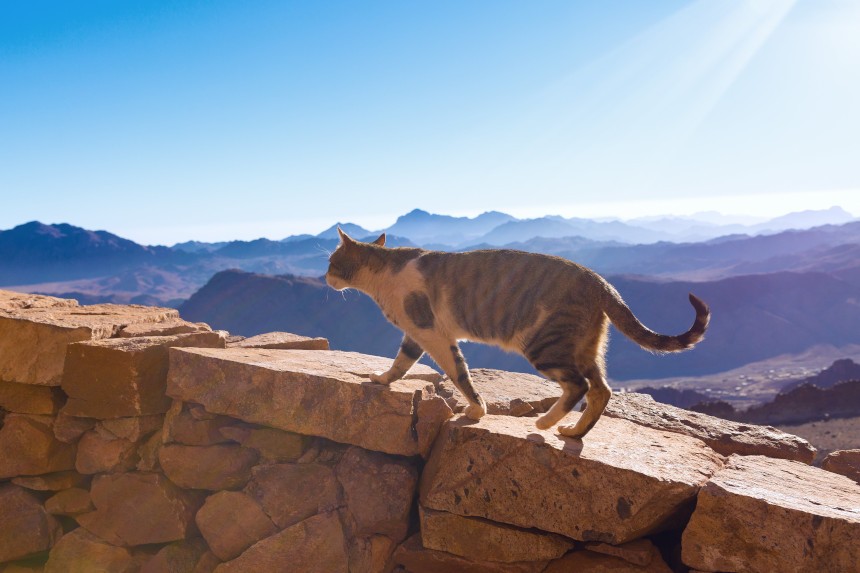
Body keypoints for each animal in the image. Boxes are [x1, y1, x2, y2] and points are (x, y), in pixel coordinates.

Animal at [326, 228, 708, 438]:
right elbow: (401, 364)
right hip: (584, 346)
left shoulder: (431, 331)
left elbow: (459, 374)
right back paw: (573, 432)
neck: (382, 278)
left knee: (579, 387)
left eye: (331, 261)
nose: (326, 277)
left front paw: (477, 410)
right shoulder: (417, 334)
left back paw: (545, 423)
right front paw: (381, 379)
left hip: (544, 344)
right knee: (602, 390)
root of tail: (600, 282)